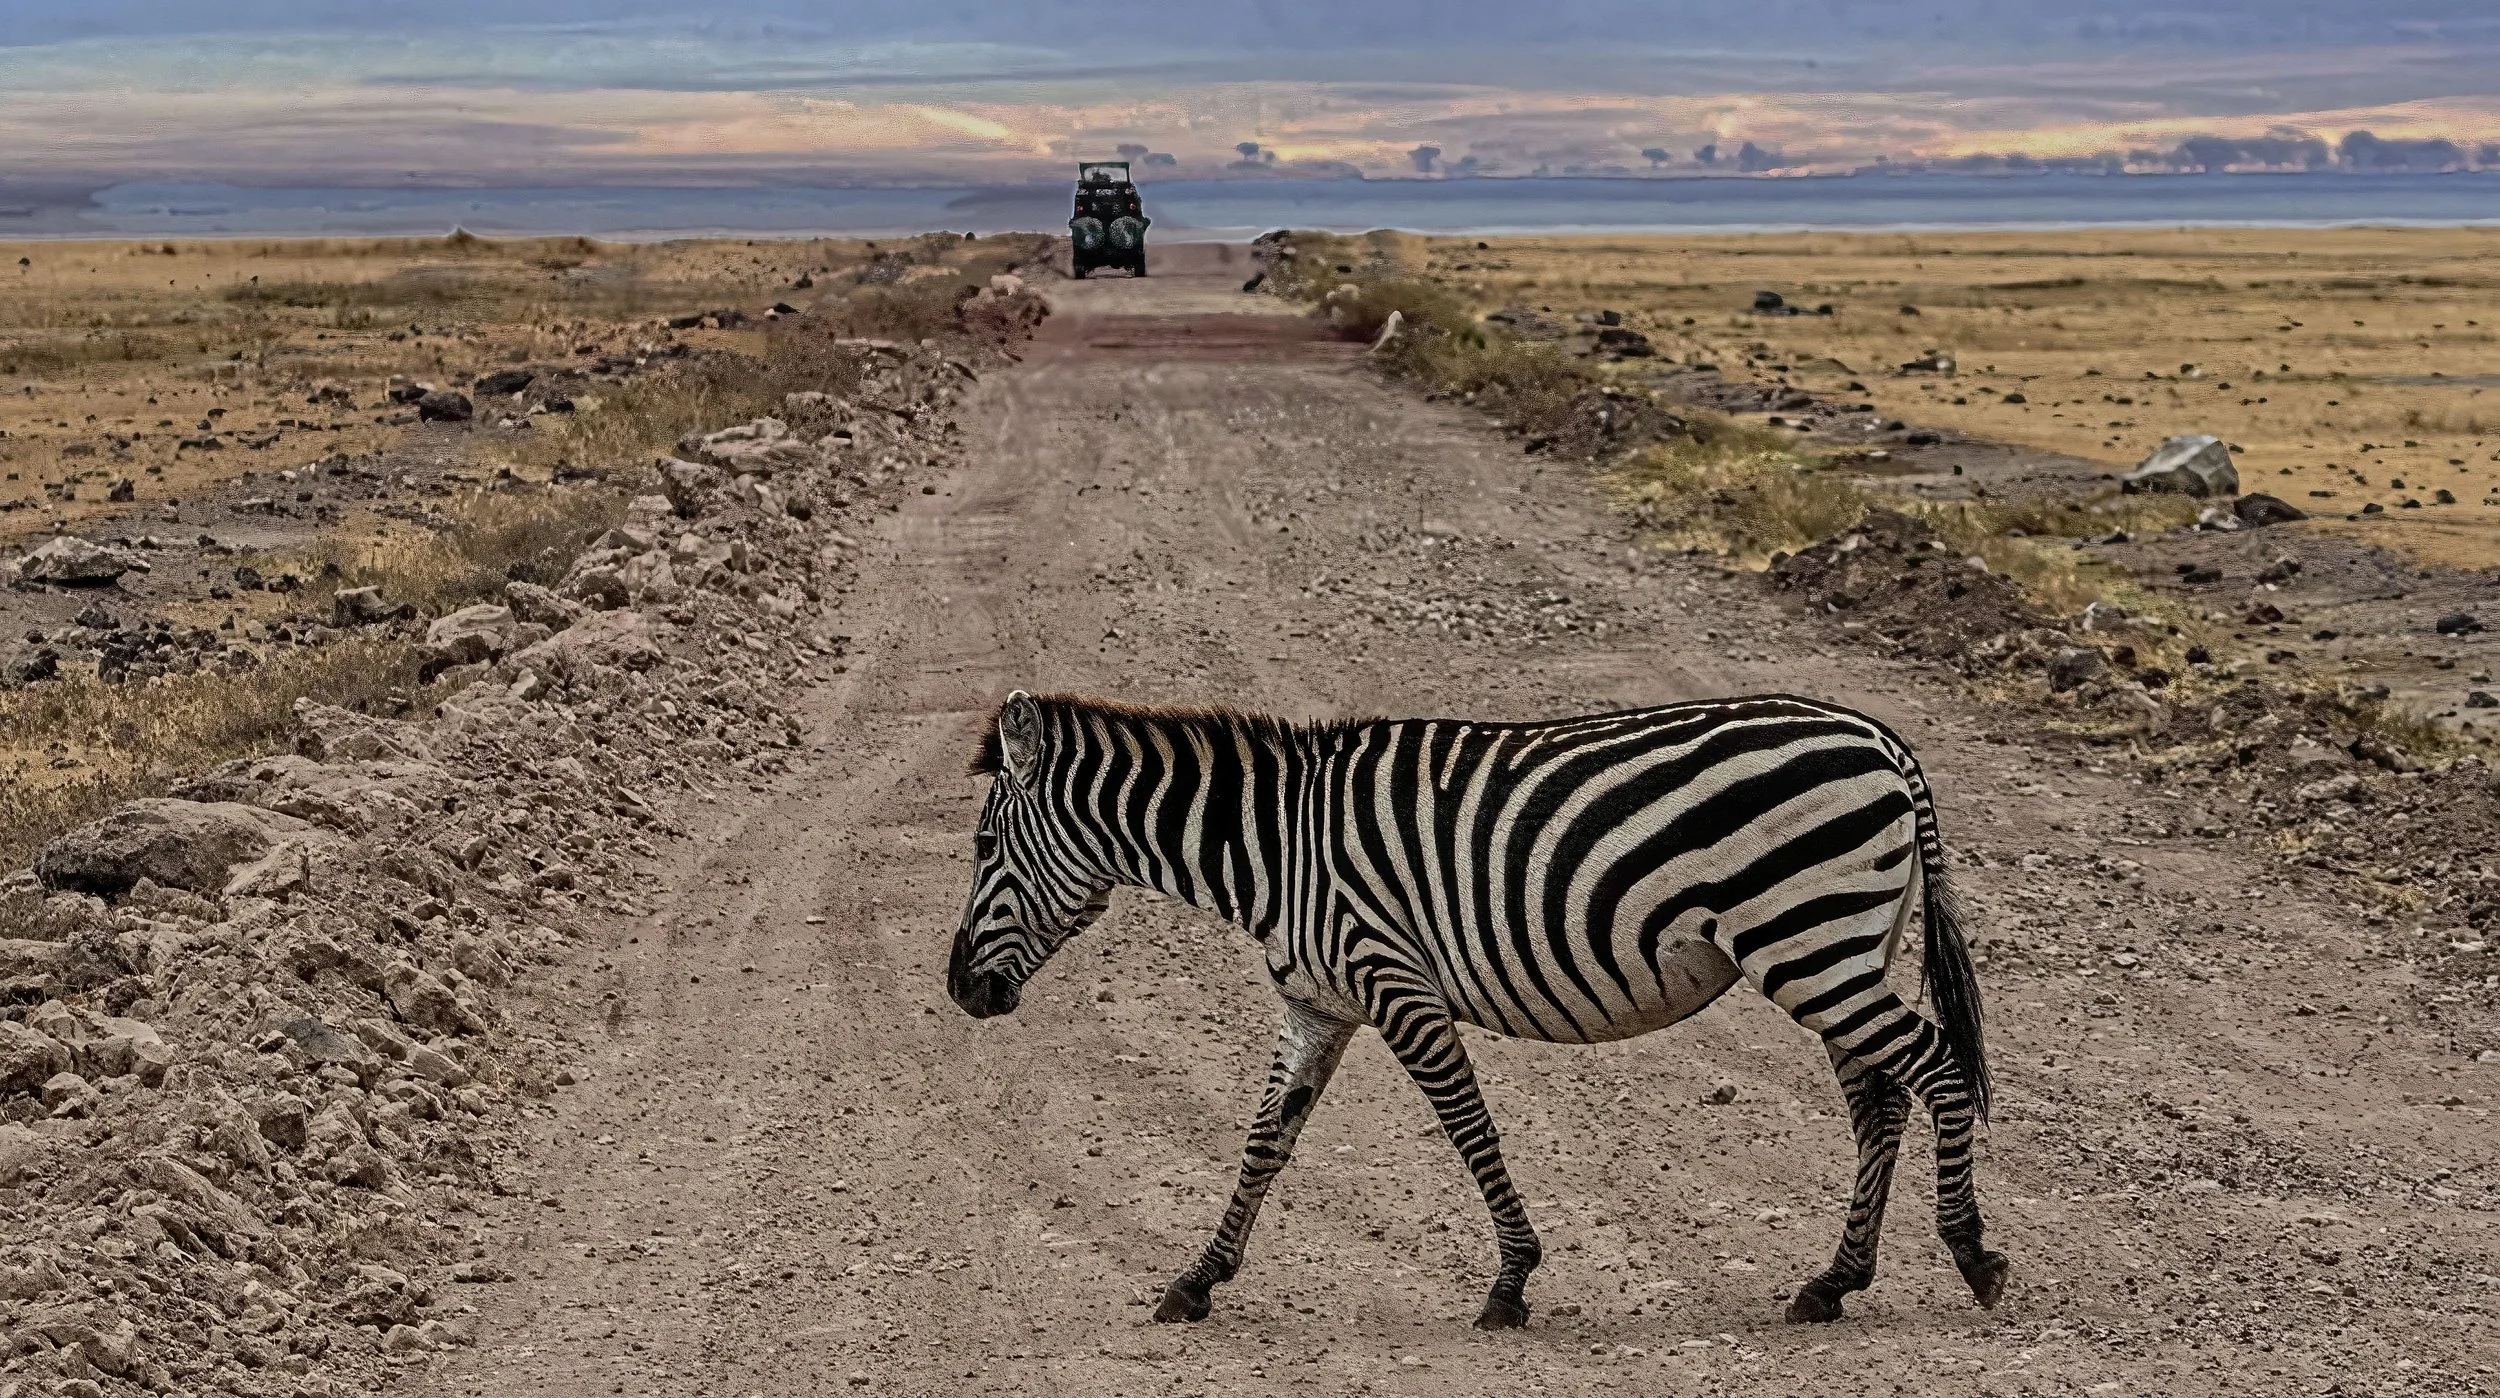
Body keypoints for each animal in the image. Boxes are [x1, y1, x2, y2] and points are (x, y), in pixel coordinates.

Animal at [947, 689, 2005, 1329]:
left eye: (984, 845)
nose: (959, 990)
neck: (1274, 851)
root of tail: (1881, 740)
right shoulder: (1318, 1009)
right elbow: (1263, 1143)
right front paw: (1197, 1279)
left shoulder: (1394, 983)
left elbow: (1468, 1128)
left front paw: (1510, 1282)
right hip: (1837, 949)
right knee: (1881, 1100)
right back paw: (1835, 1281)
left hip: (1808, 943)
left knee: (1936, 1068)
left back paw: (1971, 1255)